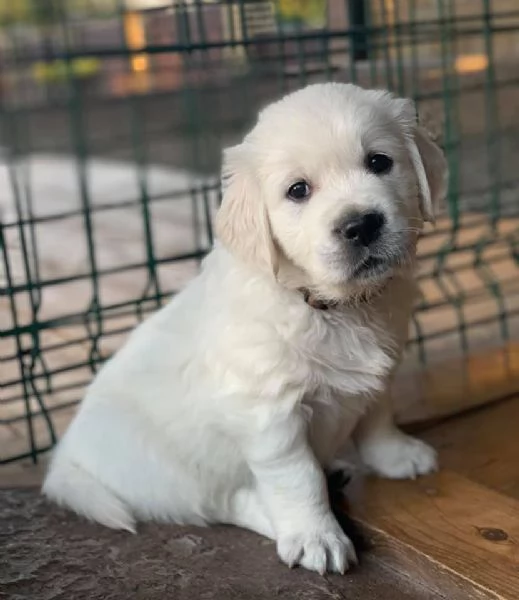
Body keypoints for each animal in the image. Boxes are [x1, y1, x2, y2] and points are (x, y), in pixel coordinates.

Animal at [42, 83, 446, 576]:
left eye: (379, 162)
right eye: (298, 190)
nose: (360, 224)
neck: (329, 305)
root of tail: (68, 458)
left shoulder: (380, 370)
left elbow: (377, 417)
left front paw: (397, 456)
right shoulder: (268, 411)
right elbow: (297, 478)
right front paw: (315, 536)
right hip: (176, 470)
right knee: (224, 504)